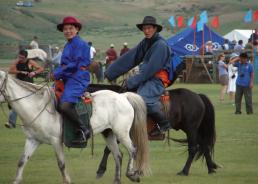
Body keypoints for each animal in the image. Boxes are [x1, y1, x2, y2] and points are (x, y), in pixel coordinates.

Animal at [0, 71, 150, 184]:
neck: (38, 106)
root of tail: (123, 96)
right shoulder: (33, 140)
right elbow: (22, 161)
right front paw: (16, 180)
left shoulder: (55, 141)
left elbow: (61, 164)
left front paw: (67, 180)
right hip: (109, 134)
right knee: (118, 155)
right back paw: (117, 180)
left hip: (122, 133)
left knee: (133, 150)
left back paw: (132, 174)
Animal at [87, 84, 219, 178]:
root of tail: (198, 96)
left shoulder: (121, 132)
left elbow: (108, 150)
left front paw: (101, 169)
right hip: (194, 130)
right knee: (204, 145)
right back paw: (211, 169)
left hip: (191, 129)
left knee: (193, 149)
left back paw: (184, 171)